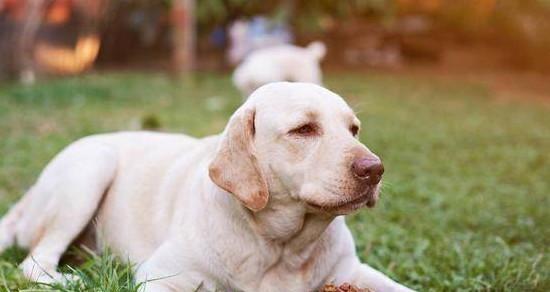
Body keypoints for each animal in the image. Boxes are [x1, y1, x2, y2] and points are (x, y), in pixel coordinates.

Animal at [0, 82, 414, 292]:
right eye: (304, 129)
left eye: (353, 129)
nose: (375, 170)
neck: (281, 247)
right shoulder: (162, 277)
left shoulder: (353, 273)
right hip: (91, 166)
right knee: (33, 264)